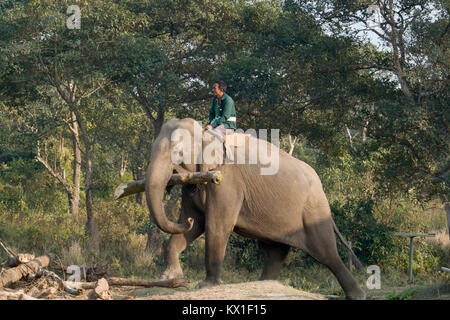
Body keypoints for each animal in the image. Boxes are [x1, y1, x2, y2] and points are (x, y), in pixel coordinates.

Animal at [146, 117, 368, 300]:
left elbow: (216, 226)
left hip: (314, 211)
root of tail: (321, 187)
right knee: (274, 252)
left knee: (327, 254)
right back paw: (265, 284)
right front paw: (169, 276)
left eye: (178, 152)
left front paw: (206, 285)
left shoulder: (227, 182)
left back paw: (357, 296)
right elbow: (194, 225)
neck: (205, 134)